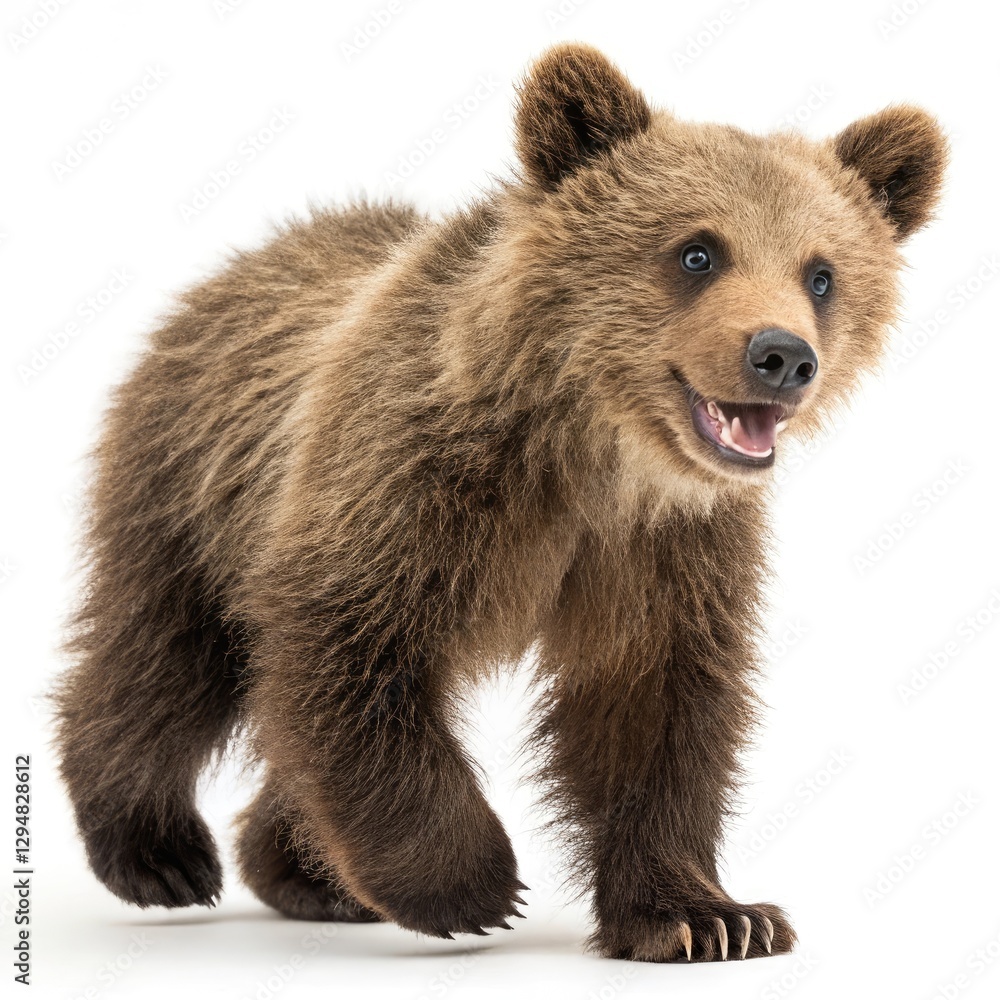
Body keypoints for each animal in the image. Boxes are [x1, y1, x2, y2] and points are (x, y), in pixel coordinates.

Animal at [54, 43, 946, 963]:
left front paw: (711, 916)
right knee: (165, 658)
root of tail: (233, 268)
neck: (592, 454)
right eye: (698, 253)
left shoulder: (666, 547)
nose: (781, 355)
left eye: (822, 273)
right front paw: (472, 886)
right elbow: (346, 643)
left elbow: (651, 703)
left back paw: (305, 873)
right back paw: (155, 852)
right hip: (188, 484)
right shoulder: (412, 485)